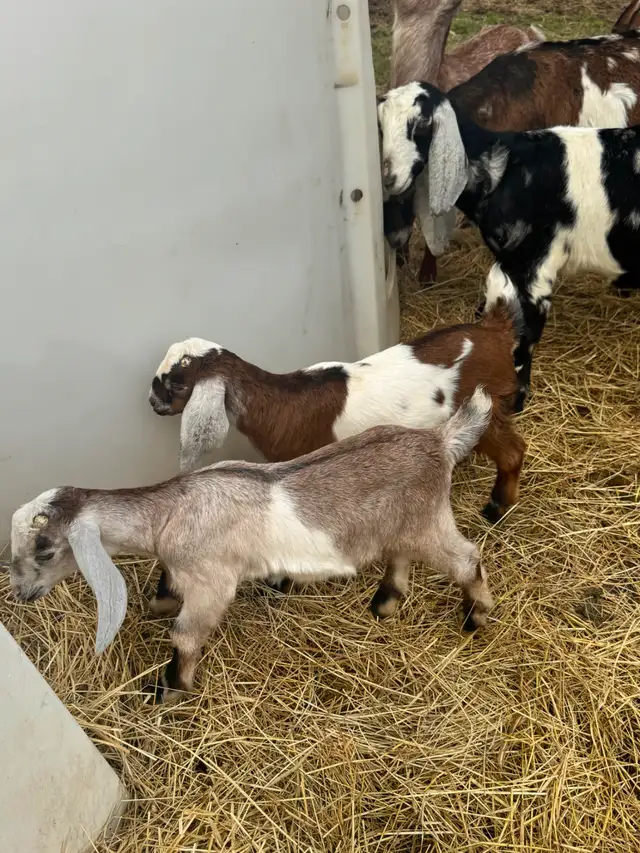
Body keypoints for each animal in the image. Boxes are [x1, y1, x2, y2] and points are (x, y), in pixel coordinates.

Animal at [7, 389, 495, 703]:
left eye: (45, 551)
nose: (21, 594)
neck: (170, 511)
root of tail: (438, 440)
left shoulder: (212, 582)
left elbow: (185, 635)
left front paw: (169, 690)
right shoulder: (183, 567)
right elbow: (164, 589)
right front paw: (156, 611)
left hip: (429, 521)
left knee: (467, 559)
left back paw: (476, 615)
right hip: (400, 523)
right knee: (399, 555)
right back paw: (386, 602)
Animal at [378, 80, 640, 412]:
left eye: (422, 123)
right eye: (380, 124)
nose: (389, 178)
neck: (501, 172)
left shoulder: (534, 268)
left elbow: (523, 336)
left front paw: (516, 399)